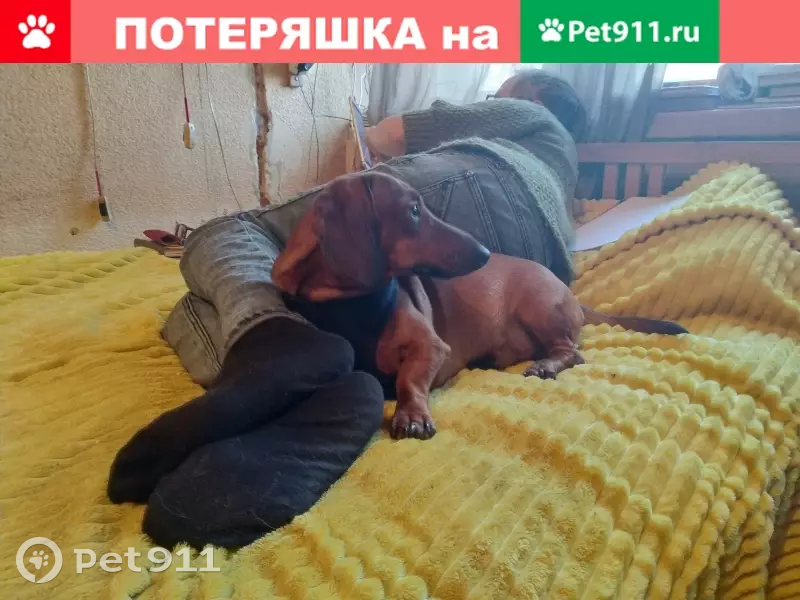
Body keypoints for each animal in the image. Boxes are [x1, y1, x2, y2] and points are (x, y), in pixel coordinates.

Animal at [273, 172, 688, 440]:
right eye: (413, 211)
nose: (485, 253)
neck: (352, 301)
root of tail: (572, 295)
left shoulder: (430, 346)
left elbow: (409, 379)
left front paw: (412, 414)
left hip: (538, 308)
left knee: (570, 351)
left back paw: (546, 365)